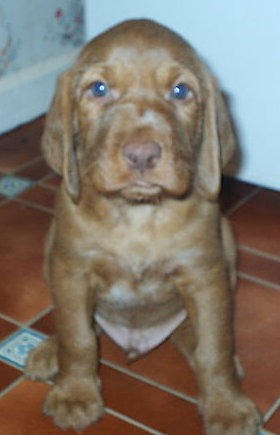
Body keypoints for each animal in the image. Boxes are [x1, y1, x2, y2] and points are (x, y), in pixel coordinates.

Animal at [25, 18, 260, 434]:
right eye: (98, 89)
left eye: (180, 91)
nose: (142, 154)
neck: (137, 215)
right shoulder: (72, 271)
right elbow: (77, 337)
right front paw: (75, 394)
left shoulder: (205, 275)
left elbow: (215, 345)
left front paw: (227, 406)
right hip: (50, 250)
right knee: (81, 327)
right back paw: (49, 350)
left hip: (228, 242)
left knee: (197, 333)